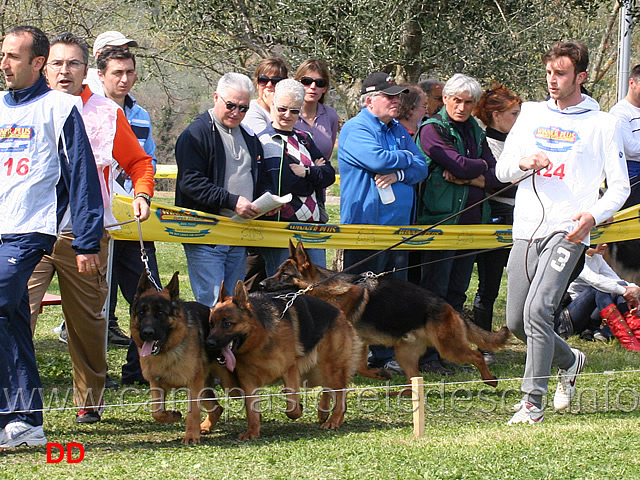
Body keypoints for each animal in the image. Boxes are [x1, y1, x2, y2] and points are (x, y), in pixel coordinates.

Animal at [129, 272, 224, 444]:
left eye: (161, 313)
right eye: (141, 313)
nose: (147, 333)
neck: (168, 350)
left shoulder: (193, 385)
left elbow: (193, 413)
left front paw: (191, 436)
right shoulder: (156, 384)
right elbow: (157, 412)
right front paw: (173, 415)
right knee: (217, 408)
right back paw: (205, 426)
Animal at [209, 280, 362, 440]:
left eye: (227, 324)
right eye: (211, 324)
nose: (209, 343)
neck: (260, 339)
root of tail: (340, 314)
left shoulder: (289, 370)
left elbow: (292, 407)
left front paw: (299, 409)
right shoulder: (248, 381)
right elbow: (251, 410)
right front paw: (252, 431)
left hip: (331, 369)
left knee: (340, 395)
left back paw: (334, 421)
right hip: (317, 372)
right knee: (328, 388)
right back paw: (323, 412)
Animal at [260, 242, 510, 388]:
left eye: (284, 274)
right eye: (277, 271)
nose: (261, 284)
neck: (323, 287)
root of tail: (449, 307)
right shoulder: (361, 342)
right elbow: (361, 367)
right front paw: (380, 374)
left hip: (450, 348)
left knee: (476, 356)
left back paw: (489, 379)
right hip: (405, 354)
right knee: (413, 381)